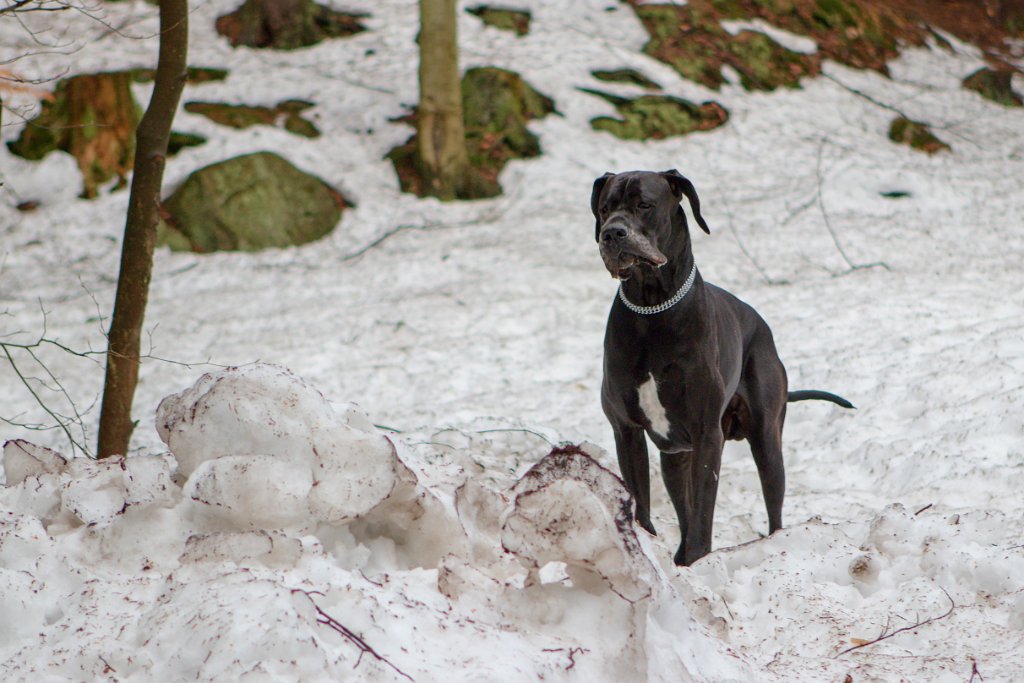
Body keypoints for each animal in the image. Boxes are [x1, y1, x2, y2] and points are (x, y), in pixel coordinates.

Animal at [593, 169, 847, 565]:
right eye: (604, 209)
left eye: (644, 205)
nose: (612, 233)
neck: (652, 309)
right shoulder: (627, 430)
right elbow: (643, 504)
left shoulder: (706, 434)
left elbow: (703, 513)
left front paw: (700, 559)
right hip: (675, 459)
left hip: (767, 440)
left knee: (773, 506)